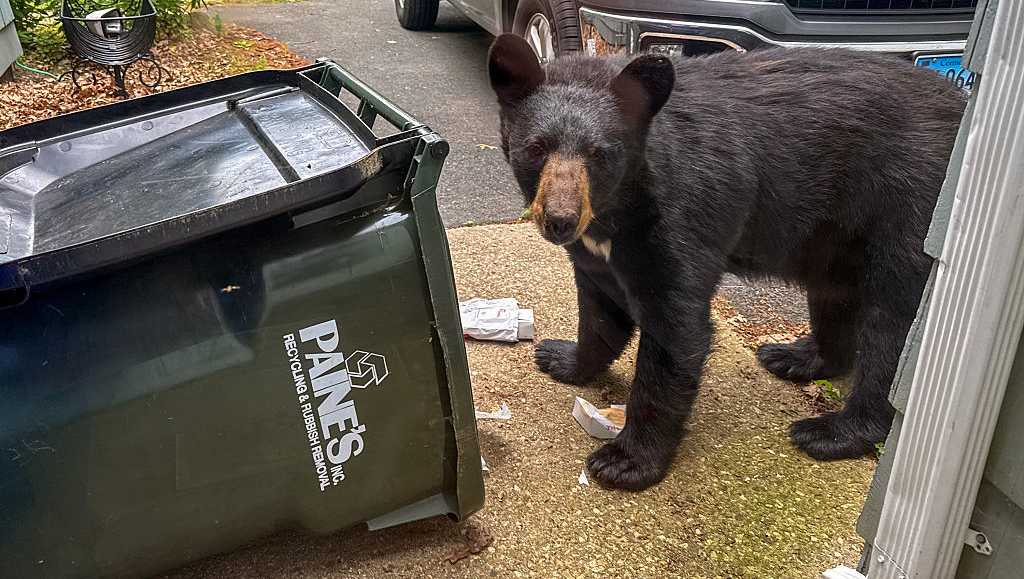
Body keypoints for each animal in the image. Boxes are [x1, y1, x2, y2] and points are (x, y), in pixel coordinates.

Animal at [487, 33, 967, 491]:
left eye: (599, 153)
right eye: (536, 148)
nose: (561, 220)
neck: (618, 209)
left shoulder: (682, 213)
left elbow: (676, 329)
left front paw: (626, 461)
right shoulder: (599, 251)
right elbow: (601, 309)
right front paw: (562, 358)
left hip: (909, 205)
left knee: (892, 332)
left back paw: (832, 431)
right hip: (833, 236)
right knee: (834, 294)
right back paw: (796, 357)